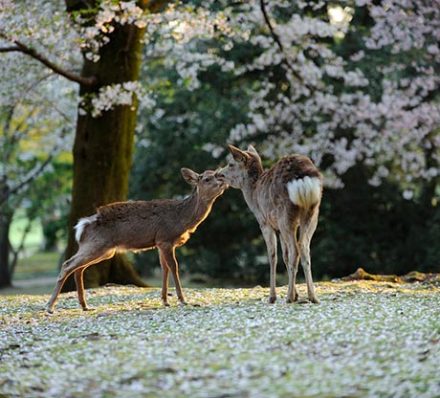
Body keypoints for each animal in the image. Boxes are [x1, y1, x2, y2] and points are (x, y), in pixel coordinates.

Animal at [46, 166, 229, 312]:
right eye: (207, 178)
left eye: (216, 173)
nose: (223, 180)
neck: (182, 219)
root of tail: (82, 225)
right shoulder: (165, 238)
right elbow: (174, 267)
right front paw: (182, 300)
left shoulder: (159, 243)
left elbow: (164, 268)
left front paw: (165, 300)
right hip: (97, 245)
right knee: (68, 264)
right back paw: (49, 307)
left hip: (104, 250)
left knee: (79, 269)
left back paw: (85, 305)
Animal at [220, 145, 324, 304]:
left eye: (231, 164)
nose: (218, 174)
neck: (254, 195)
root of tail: (303, 177)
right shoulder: (279, 229)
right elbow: (285, 256)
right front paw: (296, 294)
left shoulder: (265, 222)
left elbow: (273, 255)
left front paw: (273, 297)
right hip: (312, 212)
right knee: (304, 247)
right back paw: (312, 297)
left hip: (285, 215)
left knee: (295, 249)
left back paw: (288, 298)